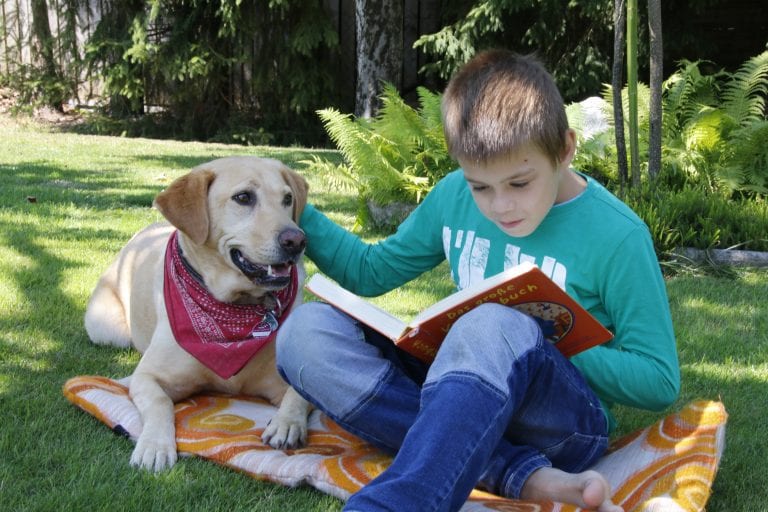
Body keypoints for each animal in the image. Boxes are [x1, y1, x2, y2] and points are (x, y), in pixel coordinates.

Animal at [85, 156, 312, 472]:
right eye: (244, 197)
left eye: (287, 199)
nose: (297, 240)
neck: (234, 308)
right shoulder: (146, 377)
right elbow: (160, 403)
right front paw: (155, 446)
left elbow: (299, 394)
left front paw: (287, 423)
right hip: (107, 331)